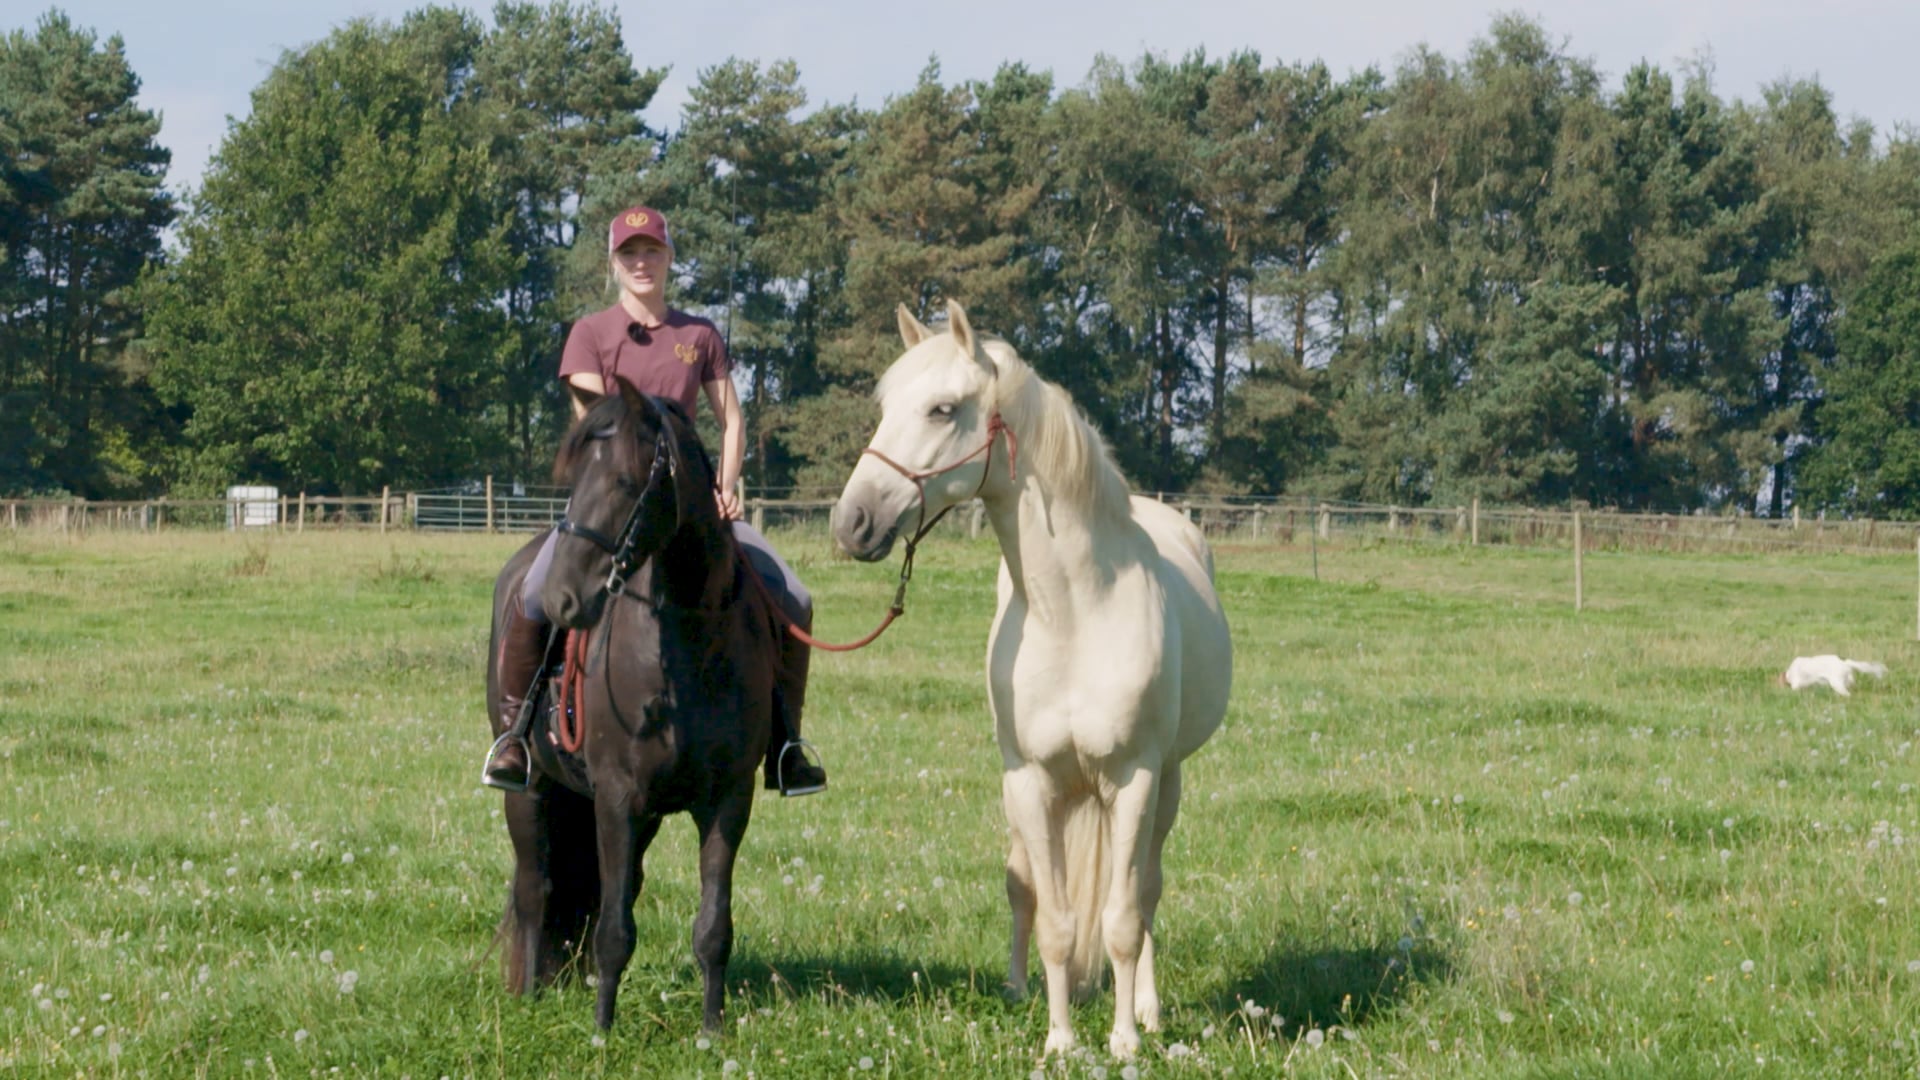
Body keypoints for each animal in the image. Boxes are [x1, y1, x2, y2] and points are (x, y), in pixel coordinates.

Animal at [487, 376, 782, 1033]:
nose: (562, 599)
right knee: (535, 889)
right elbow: (614, 928)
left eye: (624, 481)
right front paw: (602, 1030)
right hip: (533, 790)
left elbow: (712, 927)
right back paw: (528, 996)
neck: (689, 642)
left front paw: (711, 1030)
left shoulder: (728, 799)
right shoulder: (618, 797)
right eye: (573, 481)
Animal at [830, 299, 1233, 1059]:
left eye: (942, 409)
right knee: (1023, 887)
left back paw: (1150, 1009)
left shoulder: (1134, 780)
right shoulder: (1031, 782)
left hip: (1166, 785)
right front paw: (1060, 1041)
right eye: (884, 405)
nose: (853, 521)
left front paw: (1124, 1042)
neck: (1074, 612)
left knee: (1146, 889)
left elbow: (1122, 919)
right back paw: (1020, 991)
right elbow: (1054, 920)